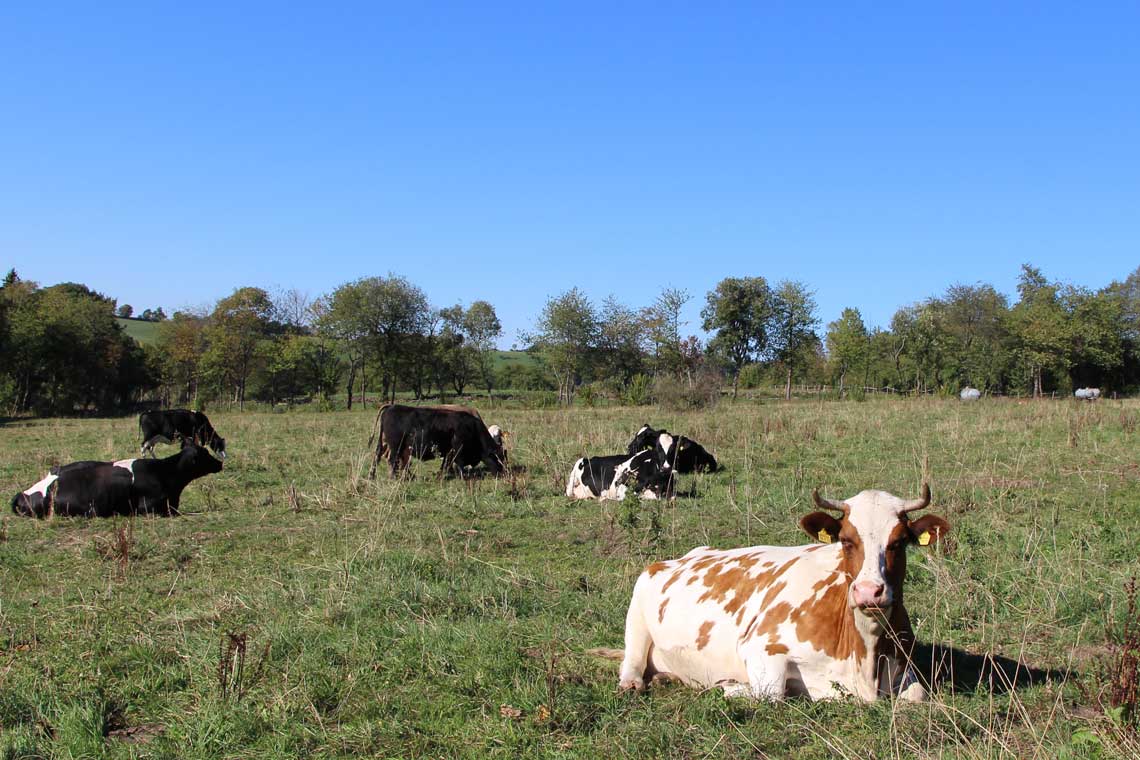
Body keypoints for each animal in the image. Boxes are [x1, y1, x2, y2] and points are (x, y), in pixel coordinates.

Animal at [367, 403, 506, 476]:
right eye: (498, 457)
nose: (504, 472)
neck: (472, 426)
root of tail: (392, 406)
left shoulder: (449, 451)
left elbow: (447, 463)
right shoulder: (458, 447)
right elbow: (459, 463)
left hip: (389, 445)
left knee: (379, 456)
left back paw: (373, 476)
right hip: (396, 446)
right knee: (392, 460)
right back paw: (395, 477)